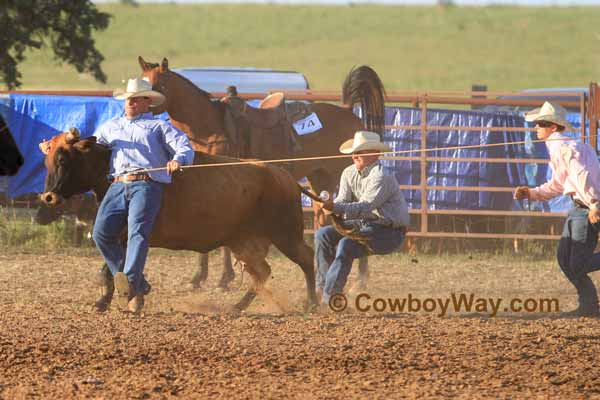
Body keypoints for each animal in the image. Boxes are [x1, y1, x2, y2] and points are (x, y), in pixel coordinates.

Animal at [139, 57, 386, 290]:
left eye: (156, 84)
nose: (134, 107)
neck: (210, 128)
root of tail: (347, 111)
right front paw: (198, 278)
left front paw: (223, 279)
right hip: (320, 178)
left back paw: (359, 281)